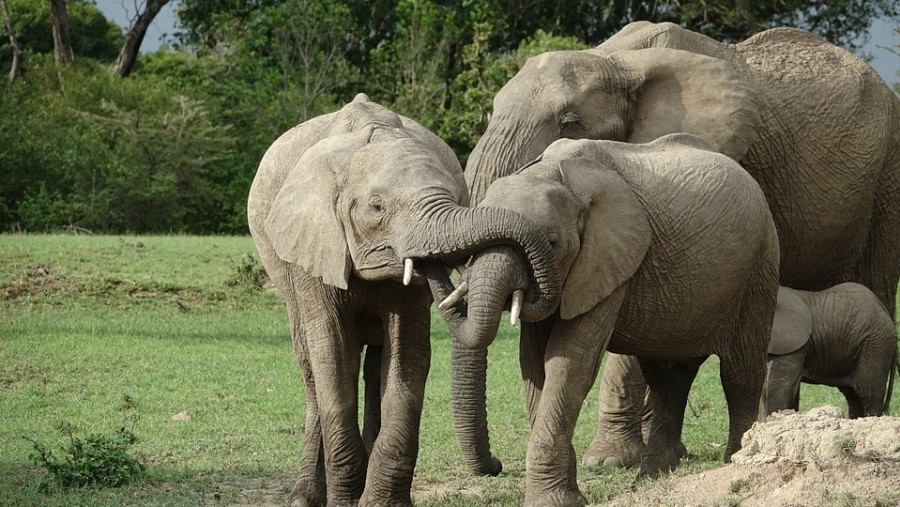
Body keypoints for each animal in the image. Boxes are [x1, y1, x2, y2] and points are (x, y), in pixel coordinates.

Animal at [243, 94, 560, 507]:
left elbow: (407, 354)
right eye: (376, 207)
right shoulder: (312, 248)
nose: (497, 466)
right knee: (311, 366)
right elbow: (331, 352)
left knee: (375, 364)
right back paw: (304, 497)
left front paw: (380, 503)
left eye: (455, 198)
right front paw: (346, 501)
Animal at [428, 133, 780, 506]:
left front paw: (556, 501)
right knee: (668, 376)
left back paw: (735, 460)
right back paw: (651, 478)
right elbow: (534, 366)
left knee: (739, 371)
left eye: (552, 242)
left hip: (760, 264)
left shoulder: (607, 259)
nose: (495, 466)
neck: (552, 174)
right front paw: (567, 495)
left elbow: (568, 363)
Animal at [760, 284, 900, 418]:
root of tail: (887, 314)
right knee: (852, 395)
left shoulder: (795, 343)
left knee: (867, 392)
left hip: (876, 343)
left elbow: (777, 386)